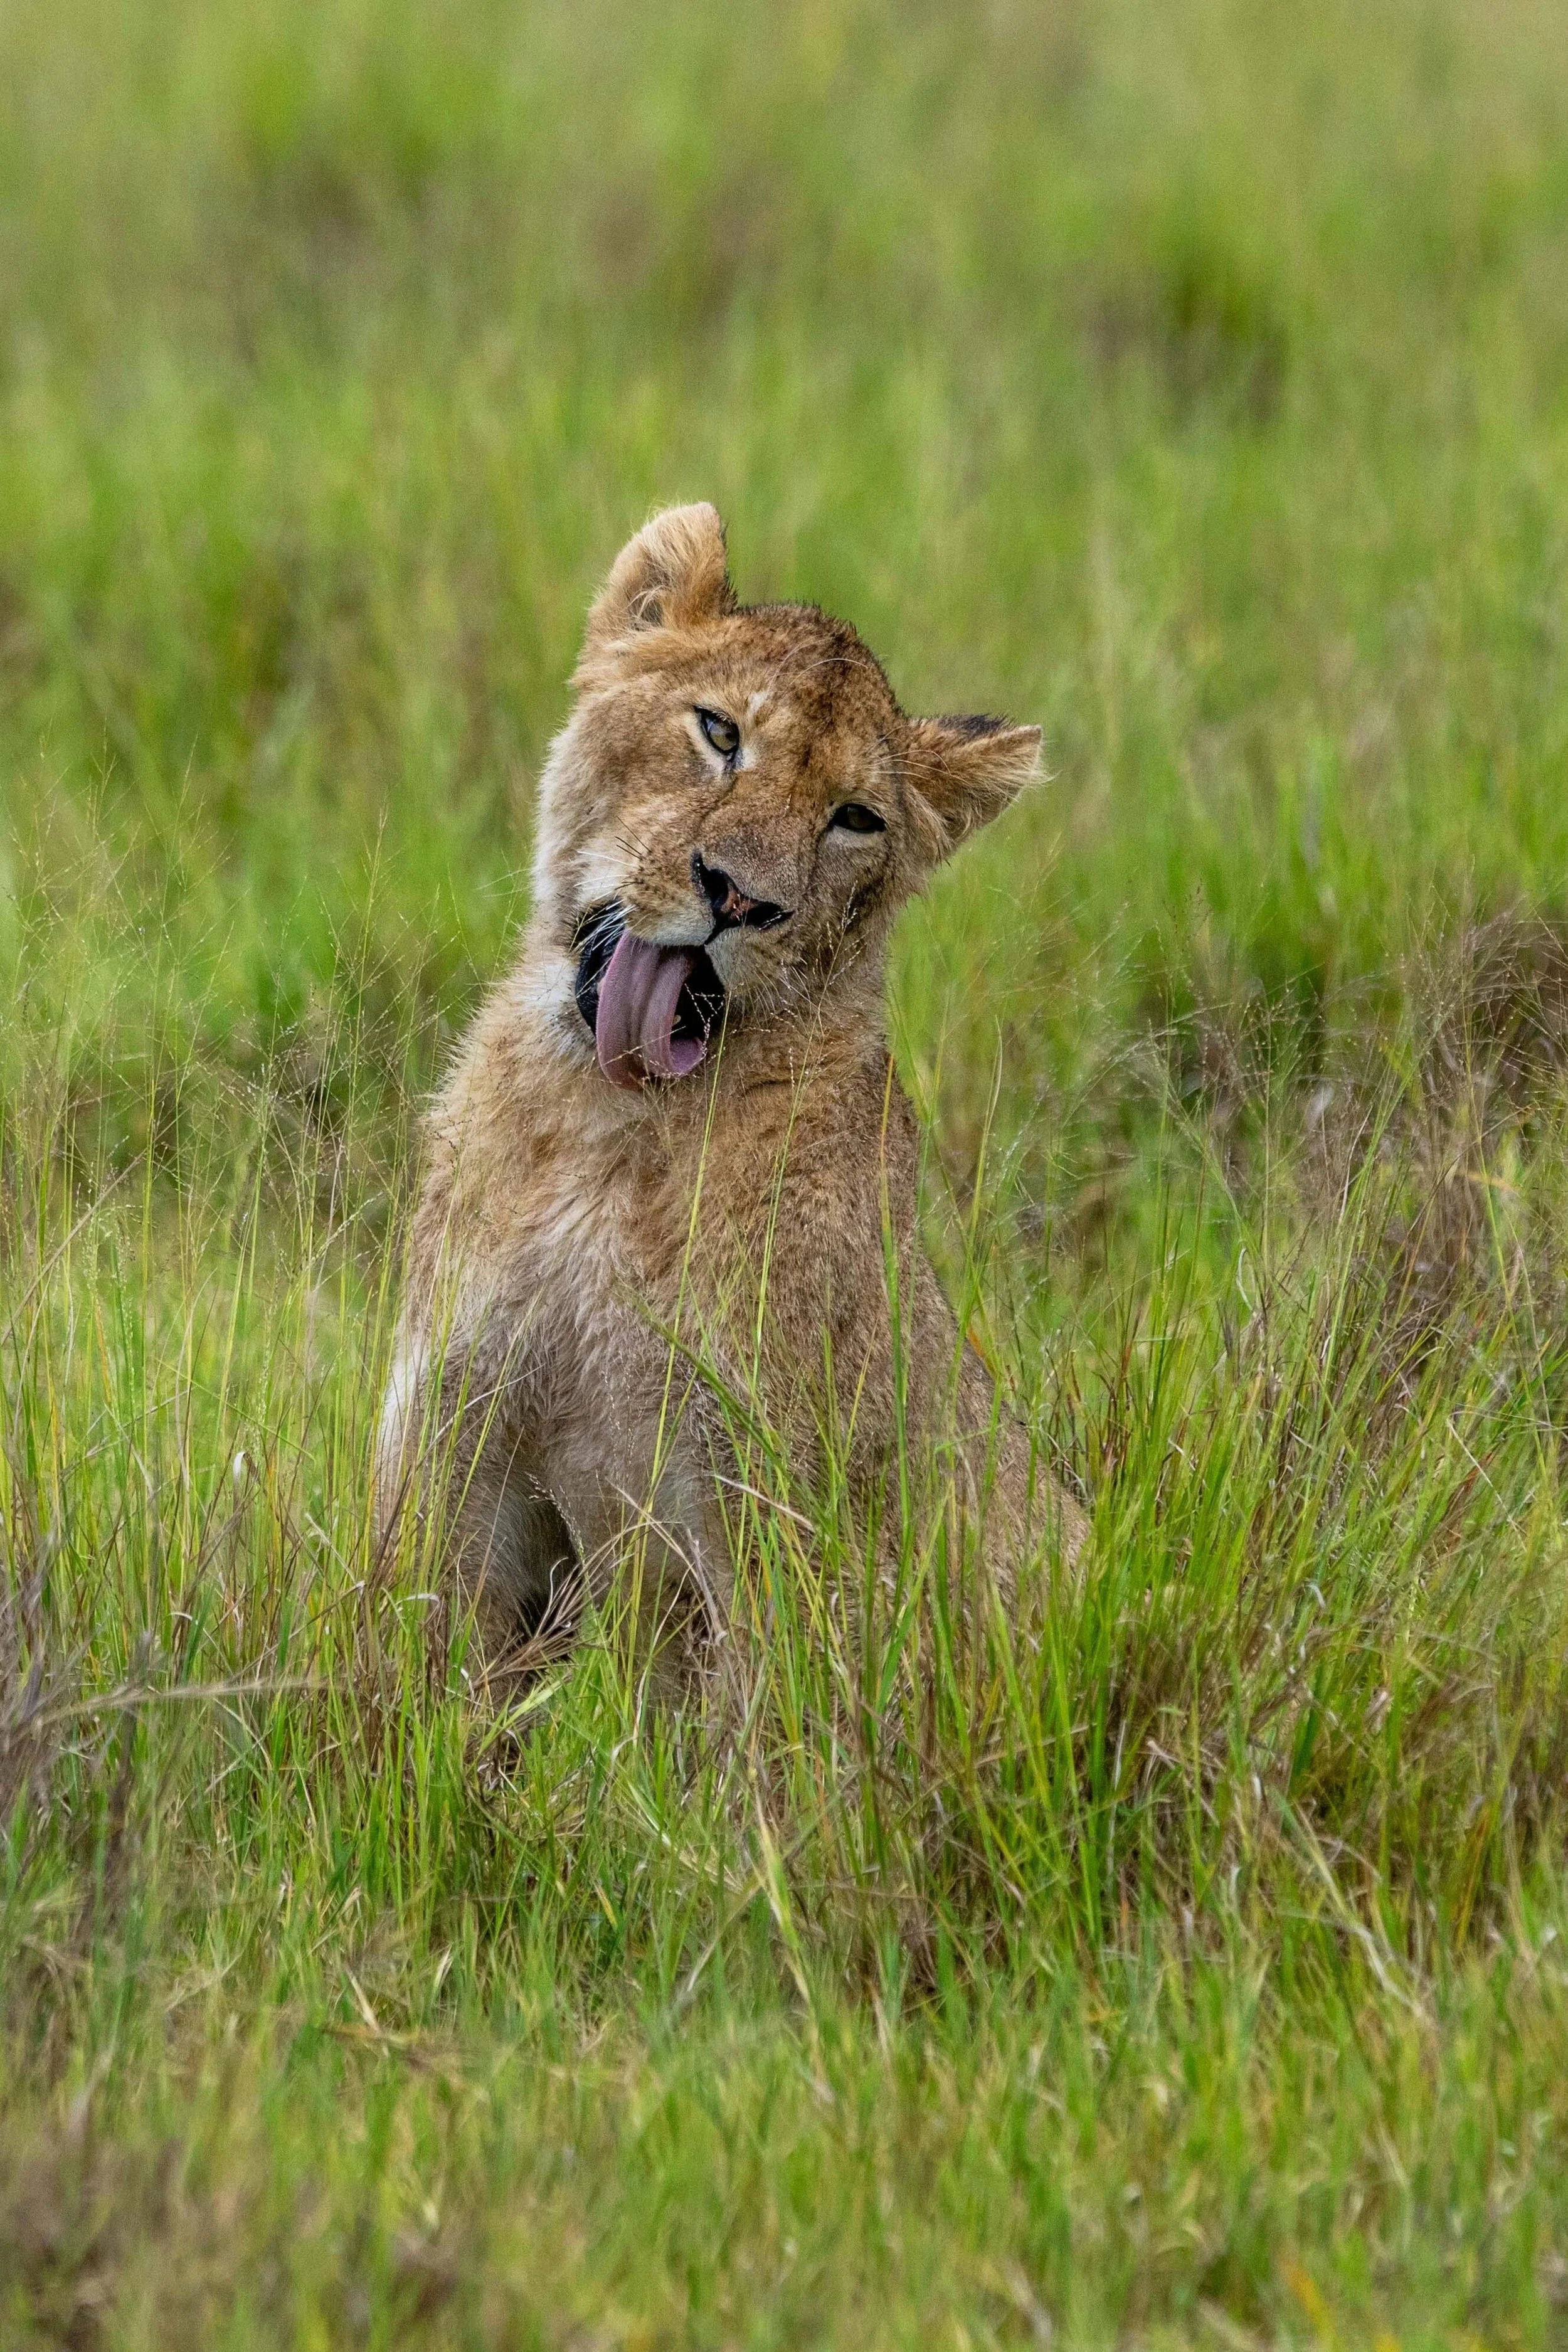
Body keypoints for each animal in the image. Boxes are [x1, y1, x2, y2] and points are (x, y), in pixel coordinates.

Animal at [378, 502, 1086, 1685]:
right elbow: (417, 1681)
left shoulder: (771, 1512)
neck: (611, 1127)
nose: (739, 899)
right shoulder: (457, 1450)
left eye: (855, 819)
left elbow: (768, 1719)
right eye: (718, 732)